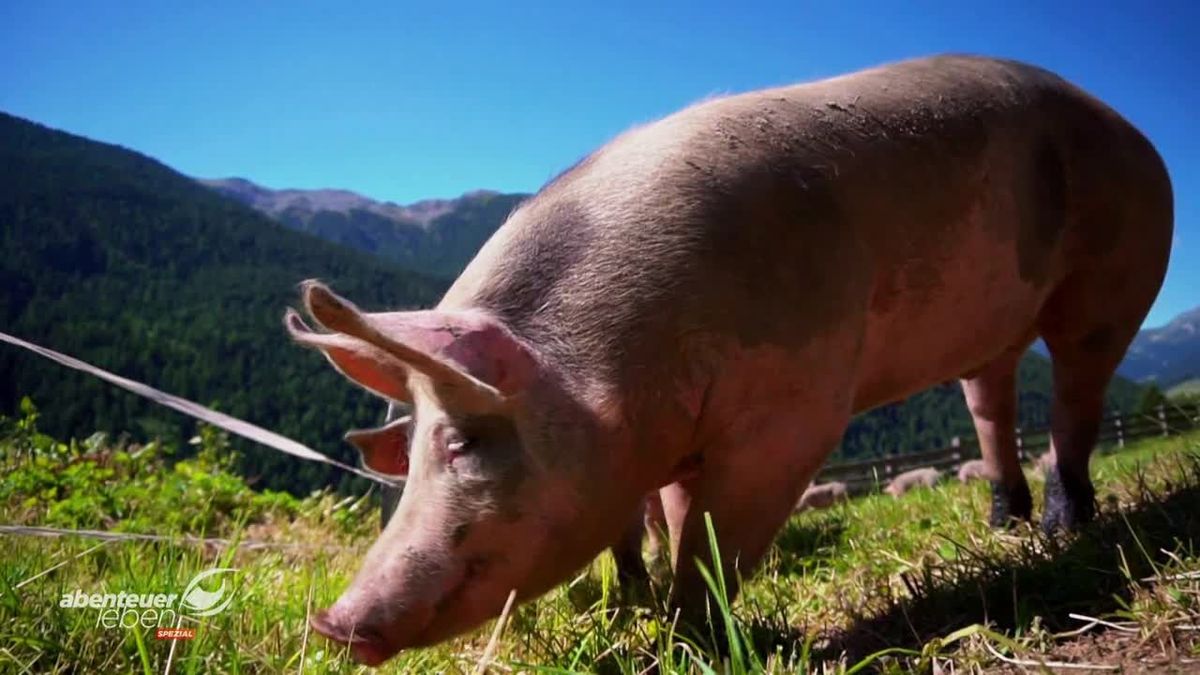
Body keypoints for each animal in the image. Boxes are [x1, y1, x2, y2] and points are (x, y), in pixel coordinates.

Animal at [290, 53, 1171, 662]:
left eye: (464, 439)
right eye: (412, 450)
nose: (331, 622)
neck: (617, 374)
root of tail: (1130, 128)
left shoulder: (792, 414)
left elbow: (714, 535)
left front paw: (685, 643)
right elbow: (681, 522)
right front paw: (656, 620)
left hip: (1116, 271)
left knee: (1077, 390)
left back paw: (1065, 529)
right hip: (995, 326)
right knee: (991, 396)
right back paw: (1003, 523)